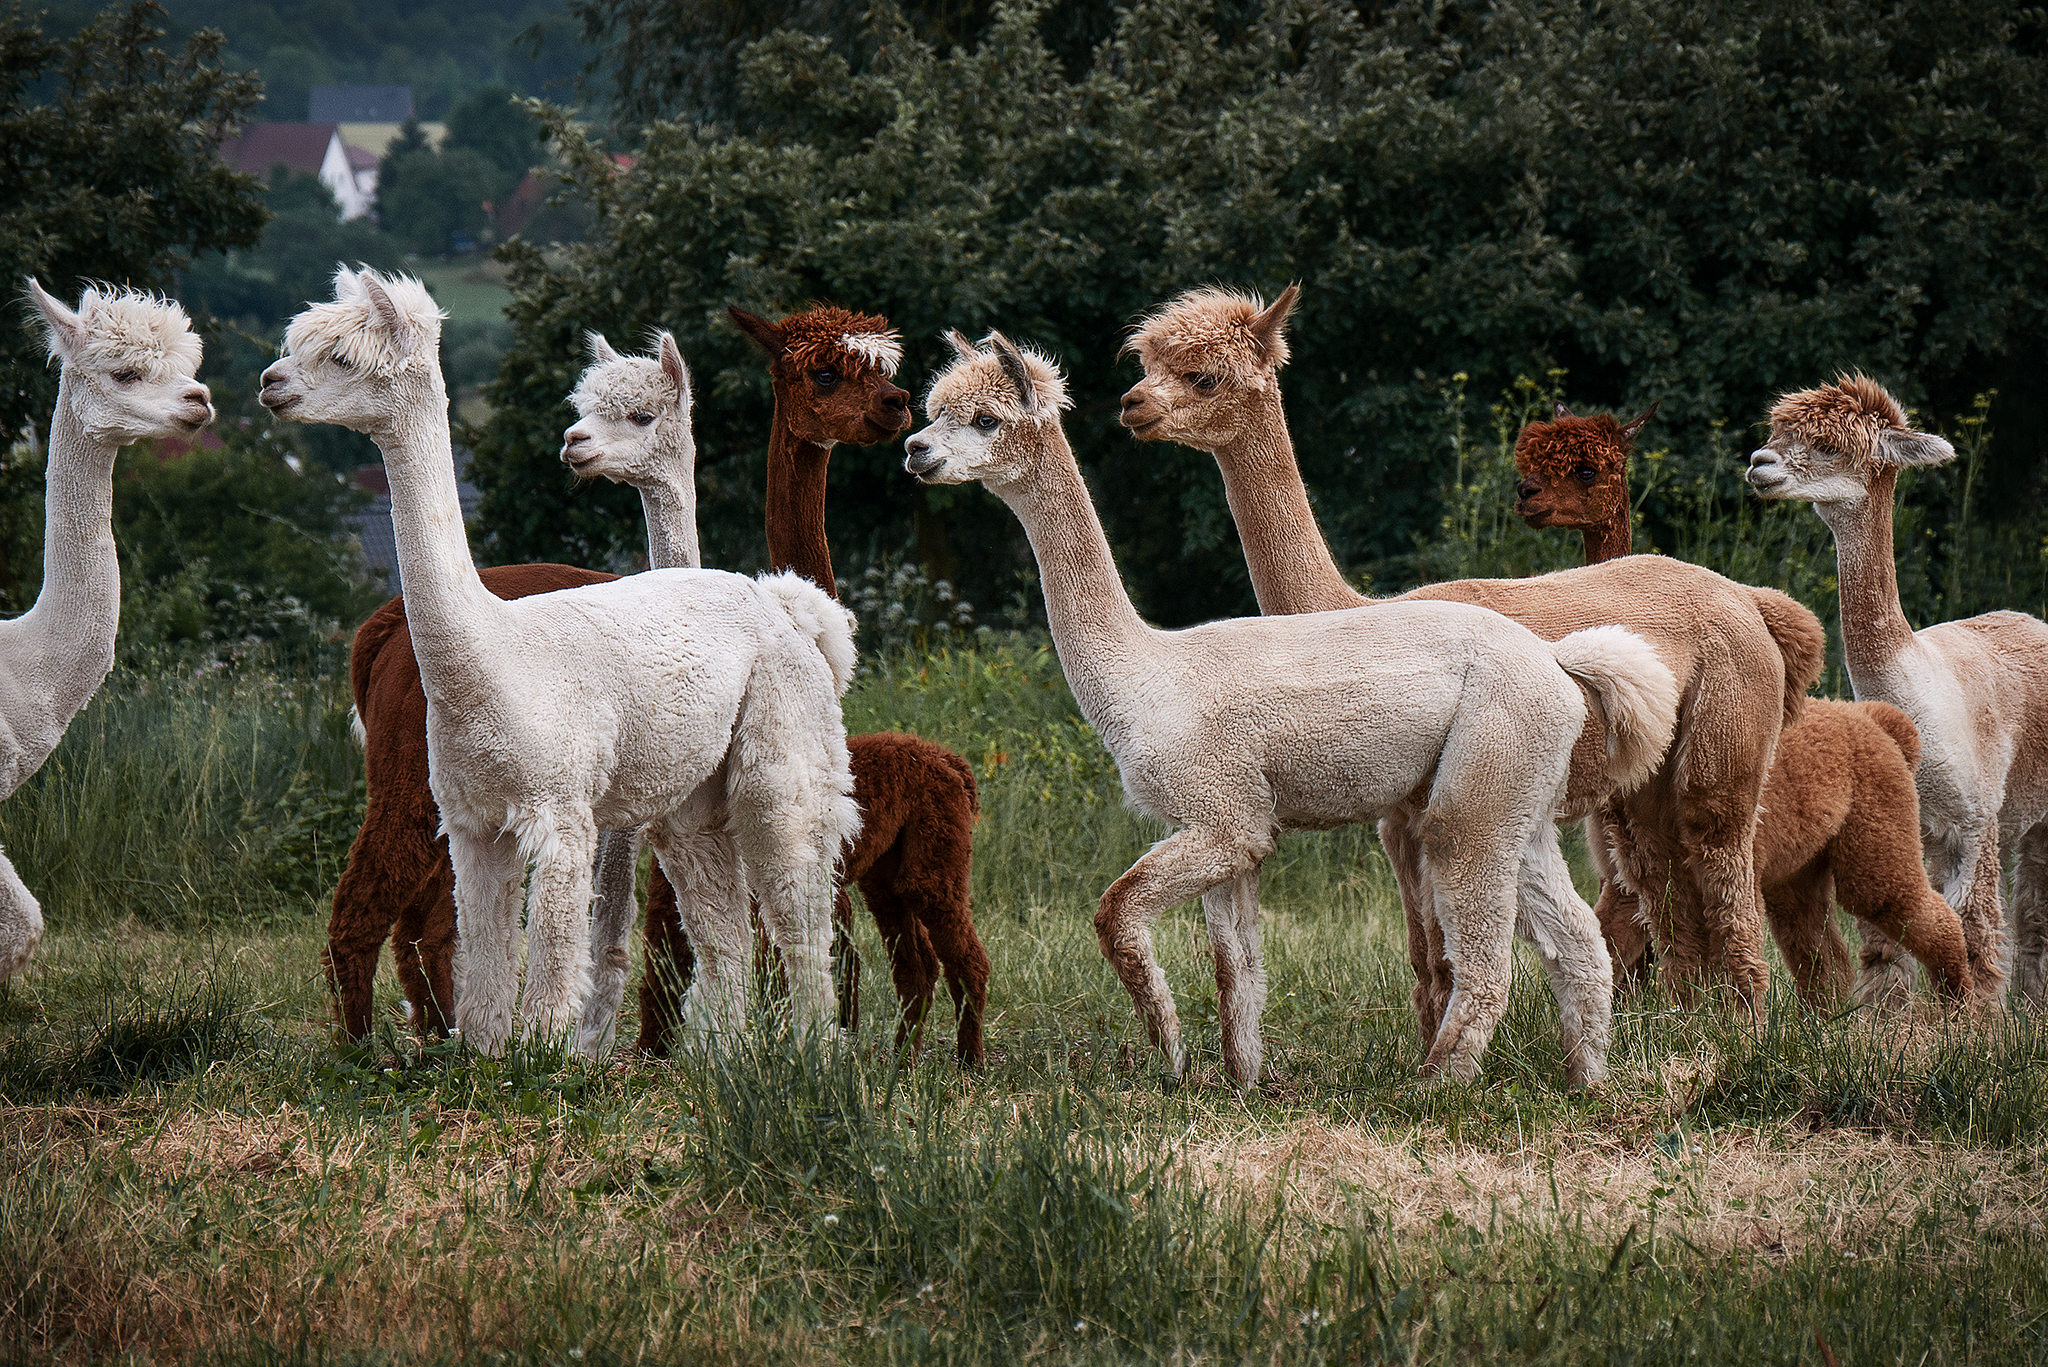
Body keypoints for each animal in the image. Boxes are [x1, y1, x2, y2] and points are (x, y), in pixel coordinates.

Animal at [261, 268, 859, 1055]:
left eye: (342, 358)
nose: (269, 383)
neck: (490, 659)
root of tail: (785, 605)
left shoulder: (562, 812)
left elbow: (550, 965)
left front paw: (548, 1056)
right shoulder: (474, 823)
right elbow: (486, 961)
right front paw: (483, 1054)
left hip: (782, 758)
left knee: (798, 918)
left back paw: (813, 1053)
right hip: (689, 792)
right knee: (722, 925)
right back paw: (725, 1058)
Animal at [907, 329, 1682, 1090]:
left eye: (986, 419)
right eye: (932, 409)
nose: (915, 449)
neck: (1145, 675)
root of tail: (1555, 662)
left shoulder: (1221, 816)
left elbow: (1116, 914)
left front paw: (1171, 1057)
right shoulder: (1230, 833)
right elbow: (1237, 971)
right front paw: (1240, 1082)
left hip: (1480, 783)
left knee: (1489, 960)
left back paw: (1432, 1089)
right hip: (1520, 796)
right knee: (1578, 941)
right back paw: (1586, 1080)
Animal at [1119, 284, 1826, 1031]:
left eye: (1204, 376)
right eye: (1145, 363)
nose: (1131, 405)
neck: (1356, 613)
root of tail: (1748, 600)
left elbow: (1446, 953)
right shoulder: (1399, 817)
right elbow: (1422, 957)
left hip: (1727, 729)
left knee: (1723, 865)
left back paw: (1746, 1027)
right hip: (1649, 776)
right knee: (1666, 880)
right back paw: (1687, 1023)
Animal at [1515, 403, 1973, 1003]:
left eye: (1588, 470)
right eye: (1526, 460)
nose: (1526, 495)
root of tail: (1877, 722)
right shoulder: (1629, 868)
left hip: (1864, 841)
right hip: (1800, 870)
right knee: (1823, 955)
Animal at [1747, 375, 2048, 1004]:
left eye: (1829, 445)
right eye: (1776, 433)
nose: (1759, 464)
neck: (1919, 690)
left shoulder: (1975, 818)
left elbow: (1978, 934)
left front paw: (1975, 1023)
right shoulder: (1909, 823)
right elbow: (1889, 939)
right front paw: (1887, 1022)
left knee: (2030, 913)